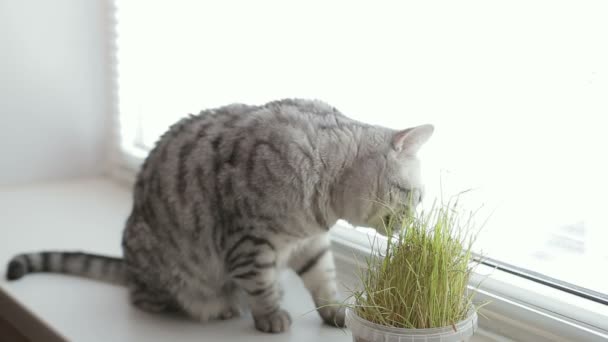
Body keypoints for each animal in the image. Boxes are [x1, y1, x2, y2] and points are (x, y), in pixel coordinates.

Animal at [4, 99, 432, 334]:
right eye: (416, 197)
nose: (412, 224)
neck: (320, 207)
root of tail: (130, 264)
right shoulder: (250, 242)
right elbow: (261, 286)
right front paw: (271, 315)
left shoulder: (310, 244)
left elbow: (323, 281)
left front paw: (336, 313)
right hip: (163, 264)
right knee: (147, 298)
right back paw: (218, 305)